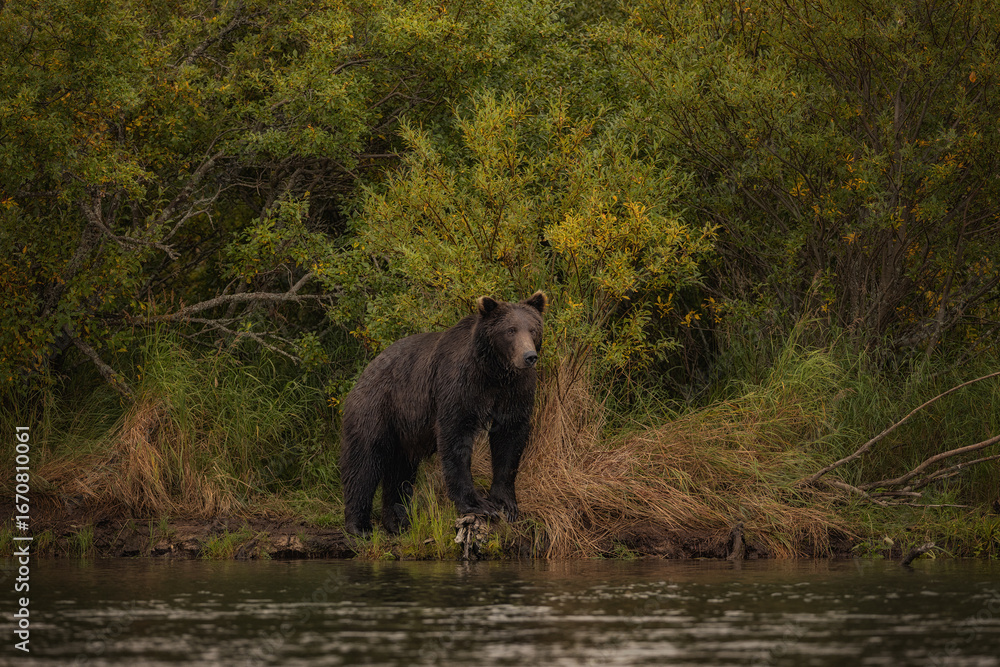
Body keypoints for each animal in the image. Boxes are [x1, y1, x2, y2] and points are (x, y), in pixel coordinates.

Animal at [339, 291, 547, 536]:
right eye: (510, 330)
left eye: (532, 329)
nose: (529, 356)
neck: (493, 372)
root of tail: (364, 372)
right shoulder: (459, 384)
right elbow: (455, 436)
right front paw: (479, 505)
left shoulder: (514, 391)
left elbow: (510, 439)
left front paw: (506, 504)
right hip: (377, 407)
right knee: (364, 461)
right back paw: (359, 525)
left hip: (405, 431)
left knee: (400, 472)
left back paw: (397, 522)